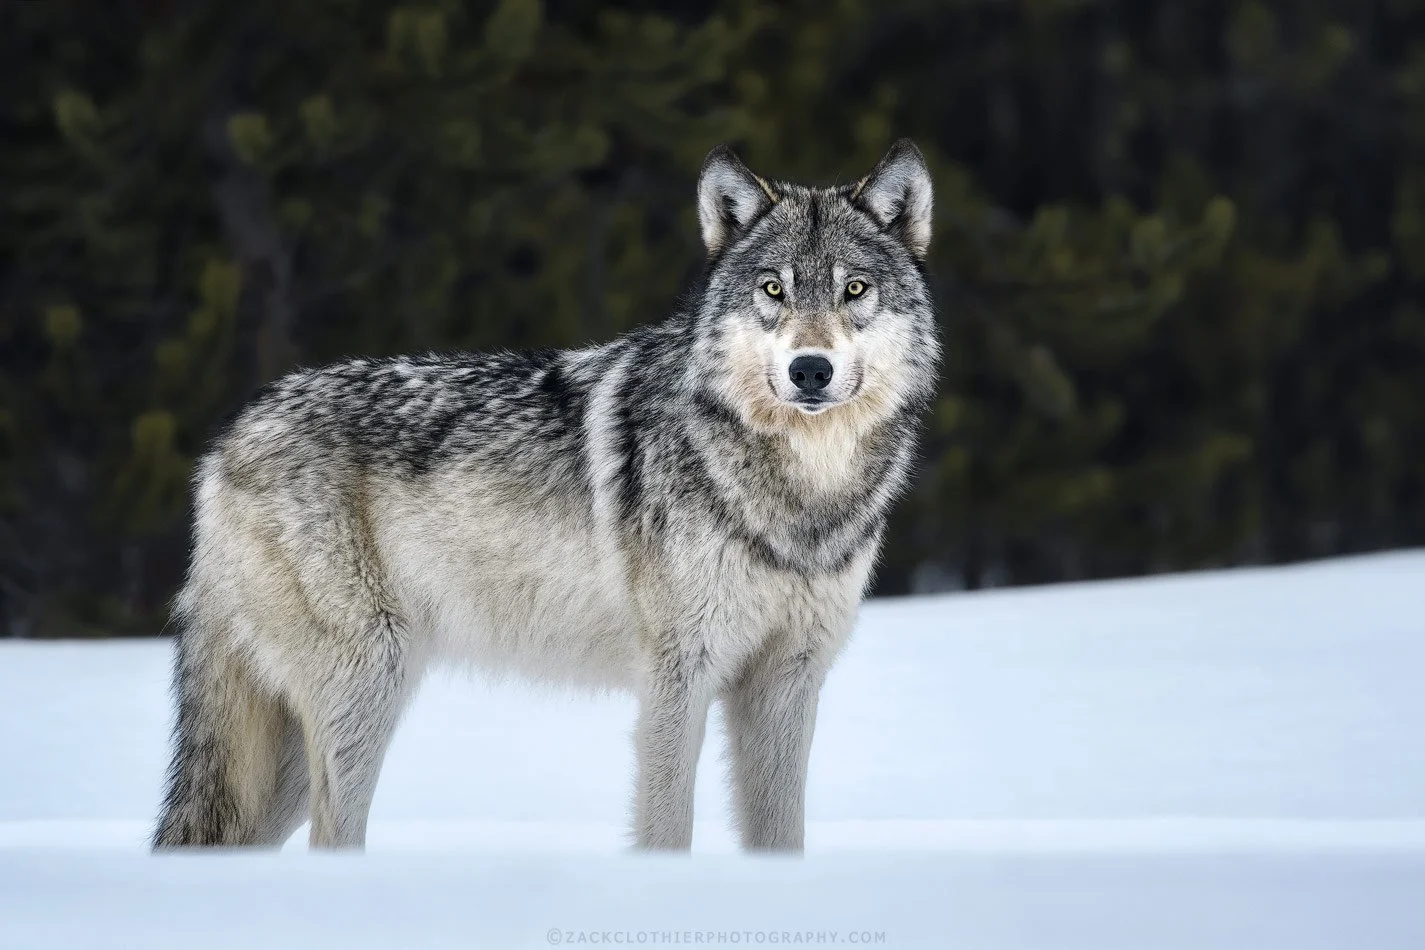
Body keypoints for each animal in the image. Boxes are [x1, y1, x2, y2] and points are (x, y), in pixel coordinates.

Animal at [152, 140, 937, 853]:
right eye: (773, 290)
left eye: (854, 290)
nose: (811, 369)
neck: (801, 495)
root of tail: (229, 439)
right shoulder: (677, 677)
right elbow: (666, 830)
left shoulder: (787, 682)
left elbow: (783, 837)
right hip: (364, 694)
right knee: (331, 837)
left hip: (292, 754)